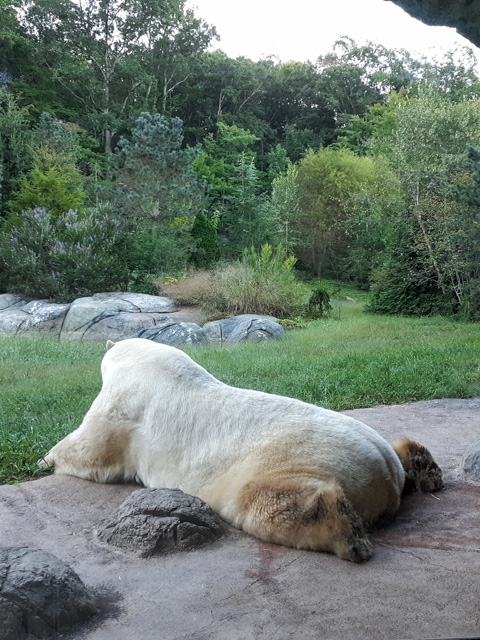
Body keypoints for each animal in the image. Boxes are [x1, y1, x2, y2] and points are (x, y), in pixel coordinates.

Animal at [39, 338, 443, 562]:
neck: (145, 363)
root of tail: (386, 469)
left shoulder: (123, 409)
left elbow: (91, 450)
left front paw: (46, 457)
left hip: (292, 457)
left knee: (266, 500)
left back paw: (347, 537)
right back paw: (422, 464)